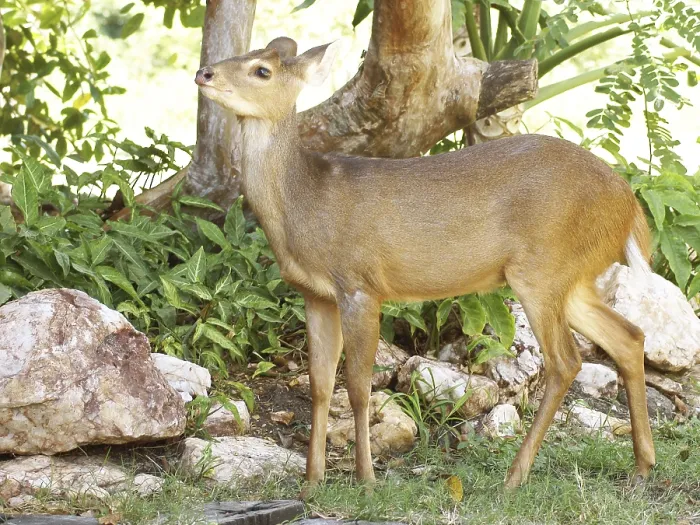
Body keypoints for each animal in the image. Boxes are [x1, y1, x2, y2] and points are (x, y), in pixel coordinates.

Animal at [194, 36, 655, 490]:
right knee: (628, 336)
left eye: (261, 70)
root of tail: (629, 204)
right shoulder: (315, 294)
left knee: (566, 361)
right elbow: (320, 385)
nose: (204, 73)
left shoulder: (360, 283)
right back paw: (642, 465)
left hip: (541, 269)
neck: (303, 203)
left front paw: (366, 479)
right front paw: (311, 483)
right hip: (571, 277)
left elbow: (358, 386)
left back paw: (514, 477)